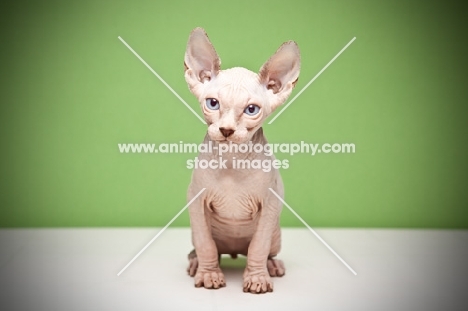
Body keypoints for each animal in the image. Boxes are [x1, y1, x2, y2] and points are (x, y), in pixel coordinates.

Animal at [184, 28, 300, 294]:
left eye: (251, 110)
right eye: (212, 103)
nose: (226, 130)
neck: (231, 162)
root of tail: (234, 251)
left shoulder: (271, 203)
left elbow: (258, 246)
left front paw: (257, 278)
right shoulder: (195, 199)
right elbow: (206, 244)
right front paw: (209, 274)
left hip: (276, 234)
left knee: (266, 250)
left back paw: (272, 266)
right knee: (201, 246)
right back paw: (195, 263)